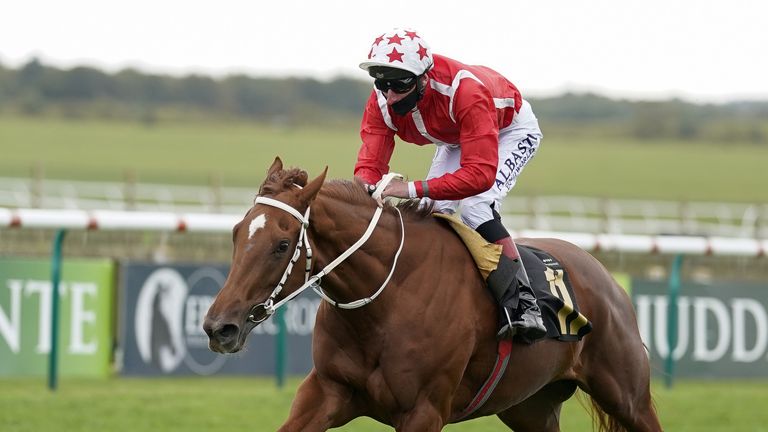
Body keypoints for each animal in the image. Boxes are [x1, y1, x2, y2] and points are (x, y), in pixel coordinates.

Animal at [202, 159, 660, 432]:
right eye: (236, 233)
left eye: (282, 245)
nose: (218, 327)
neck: (386, 301)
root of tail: (606, 277)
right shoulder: (326, 392)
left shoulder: (423, 411)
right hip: (531, 406)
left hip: (628, 397)